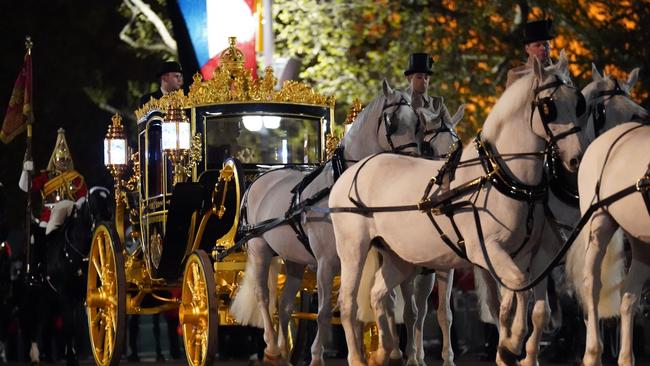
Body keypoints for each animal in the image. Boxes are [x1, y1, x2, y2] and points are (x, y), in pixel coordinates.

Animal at [230, 81, 428, 366]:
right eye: (391, 121)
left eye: (418, 123)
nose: (412, 162)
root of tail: (260, 178)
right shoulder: (326, 261)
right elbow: (324, 311)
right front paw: (317, 357)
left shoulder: (361, 256)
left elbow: (369, 302)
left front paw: (378, 352)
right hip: (259, 247)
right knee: (263, 296)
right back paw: (272, 348)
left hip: (294, 259)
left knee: (285, 305)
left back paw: (284, 353)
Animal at [326, 53, 584, 366]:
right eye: (548, 106)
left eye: (578, 103)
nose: (576, 158)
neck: (497, 174)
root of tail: (355, 169)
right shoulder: (485, 250)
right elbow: (515, 290)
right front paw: (511, 343)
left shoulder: (524, 255)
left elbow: (519, 297)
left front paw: (509, 345)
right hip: (353, 249)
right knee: (348, 303)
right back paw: (360, 356)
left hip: (399, 257)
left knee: (379, 294)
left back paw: (386, 351)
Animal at [474, 64, 644, 364]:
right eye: (599, 111)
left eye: (635, 114)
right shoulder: (545, 251)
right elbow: (538, 307)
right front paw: (525, 351)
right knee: (500, 301)